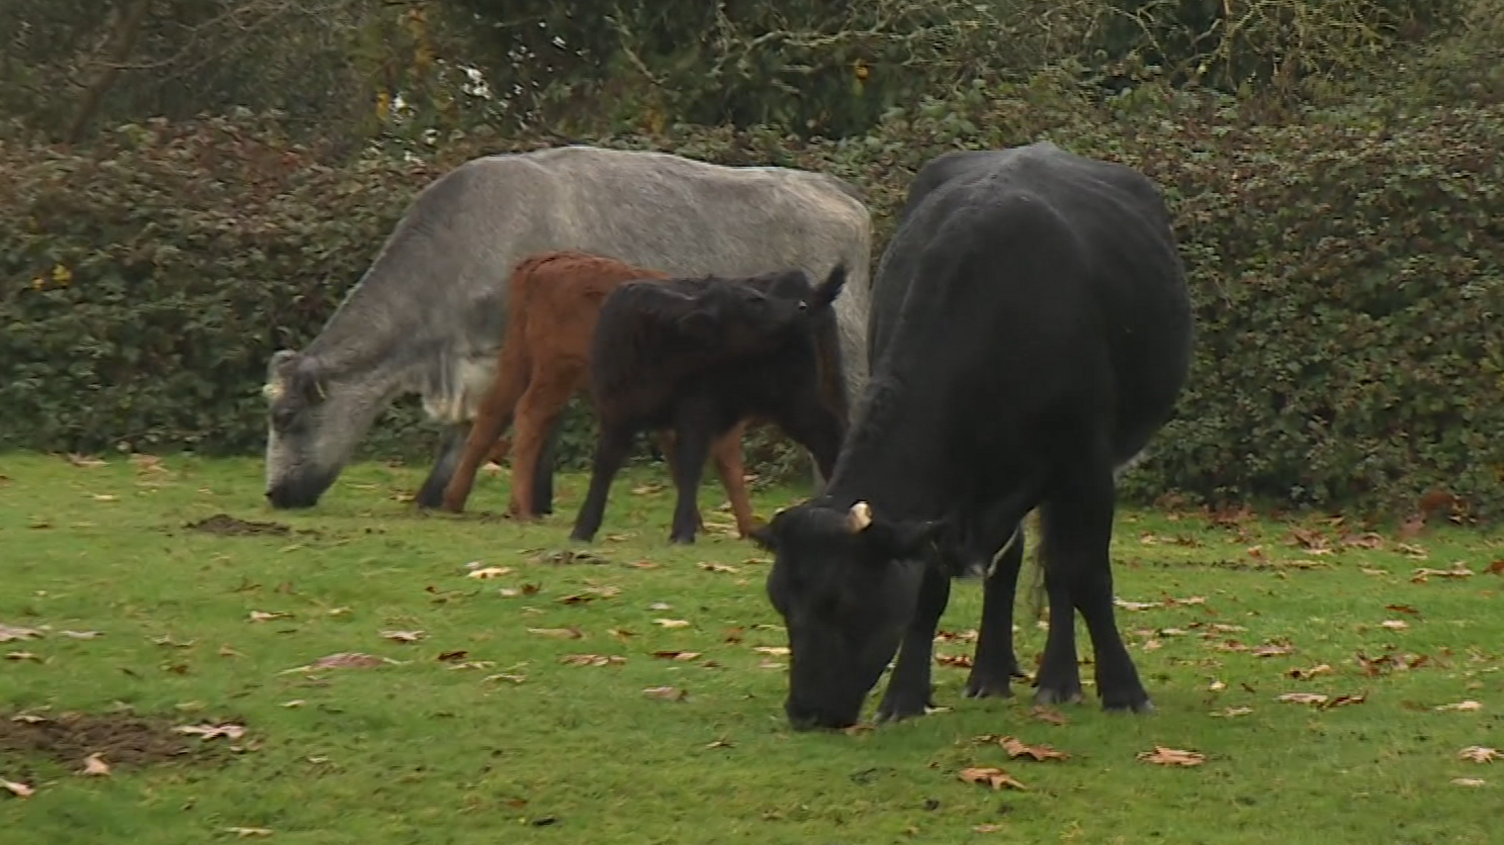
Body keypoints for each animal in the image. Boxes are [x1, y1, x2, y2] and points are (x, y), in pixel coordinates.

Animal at [439, 249, 758, 532]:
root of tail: (544, 261)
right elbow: (725, 459)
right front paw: (747, 527)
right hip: (558, 371)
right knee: (530, 415)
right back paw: (521, 509)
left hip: (518, 361)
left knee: (493, 413)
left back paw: (454, 501)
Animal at [568, 263, 854, 541]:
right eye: (752, 302)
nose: (799, 307)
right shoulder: (615, 413)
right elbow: (604, 466)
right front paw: (583, 529)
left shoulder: (696, 413)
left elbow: (689, 466)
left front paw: (683, 531)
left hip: (797, 400)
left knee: (830, 436)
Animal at [752, 141, 1197, 727]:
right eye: (780, 600)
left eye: (840, 600)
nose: (804, 711)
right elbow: (929, 589)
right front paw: (904, 696)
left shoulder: (1086, 463)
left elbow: (1087, 576)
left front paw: (1124, 689)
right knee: (1011, 566)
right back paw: (991, 673)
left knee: (1058, 571)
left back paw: (1058, 680)